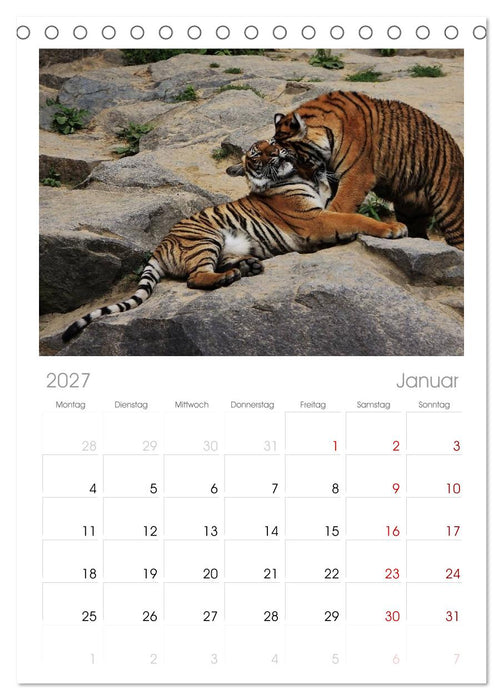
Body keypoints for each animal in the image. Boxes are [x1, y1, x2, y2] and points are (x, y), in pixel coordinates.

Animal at [62, 139, 407, 343]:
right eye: (256, 154)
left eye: (271, 145)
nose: (277, 153)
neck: (297, 176)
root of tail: (159, 246)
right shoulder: (314, 219)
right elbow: (354, 218)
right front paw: (394, 228)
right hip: (206, 238)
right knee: (196, 277)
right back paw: (230, 276)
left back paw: (247, 267)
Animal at [273, 90, 464, 249]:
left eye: (291, 158)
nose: (302, 179)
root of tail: (458, 151)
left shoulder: (357, 176)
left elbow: (339, 206)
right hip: (410, 211)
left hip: (451, 211)